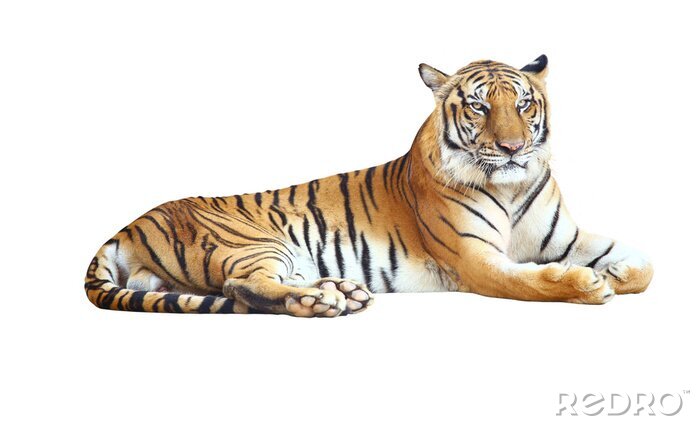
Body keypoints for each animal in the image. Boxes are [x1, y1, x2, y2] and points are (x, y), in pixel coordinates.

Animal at [85, 54, 653, 317]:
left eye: (523, 104)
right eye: (478, 106)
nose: (514, 149)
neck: (512, 187)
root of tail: (129, 225)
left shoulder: (566, 238)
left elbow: (645, 266)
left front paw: (618, 272)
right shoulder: (477, 261)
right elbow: (531, 281)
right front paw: (589, 285)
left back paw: (339, 291)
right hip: (252, 243)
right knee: (240, 286)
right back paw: (322, 303)